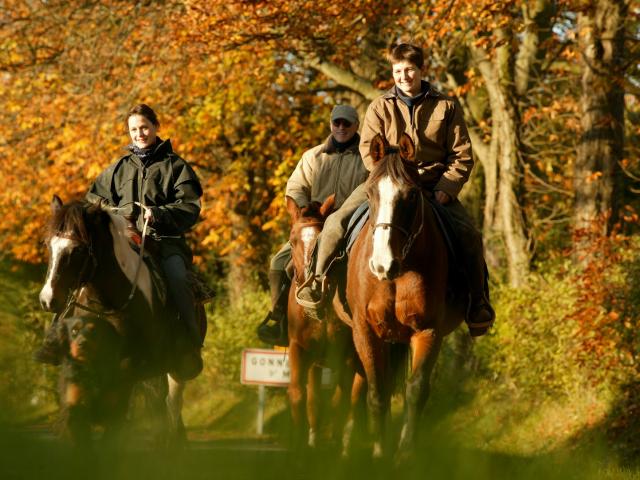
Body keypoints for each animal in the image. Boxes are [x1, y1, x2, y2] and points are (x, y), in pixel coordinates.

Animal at [38, 196, 204, 446]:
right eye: (49, 245)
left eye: (78, 249)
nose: (48, 300)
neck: (107, 305)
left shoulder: (135, 369)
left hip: (172, 369)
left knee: (171, 408)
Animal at [286, 195, 362, 454]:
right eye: (292, 240)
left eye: (322, 239)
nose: (310, 291)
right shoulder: (300, 350)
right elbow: (301, 396)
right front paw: (300, 448)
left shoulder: (346, 356)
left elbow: (341, 401)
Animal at [344, 133, 464, 460]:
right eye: (370, 192)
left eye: (411, 195)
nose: (382, 264)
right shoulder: (365, 331)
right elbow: (376, 393)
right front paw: (379, 453)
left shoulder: (428, 331)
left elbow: (416, 391)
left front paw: (405, 455)